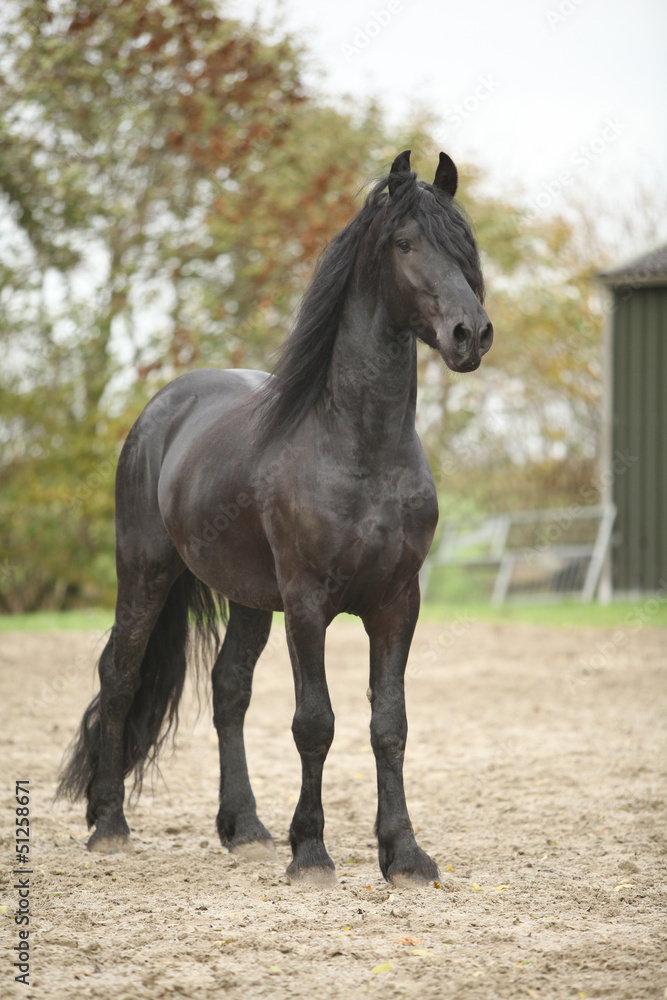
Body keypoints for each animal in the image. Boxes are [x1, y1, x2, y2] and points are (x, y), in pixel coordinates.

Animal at [57, 149, 493, 886]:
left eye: (465, 246)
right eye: (405, 244)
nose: (472, 333)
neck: (359, 448)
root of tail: (162, 409)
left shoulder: (397, 602)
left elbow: (390, 726)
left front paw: (403, 855)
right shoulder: (308, 602)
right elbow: (314, 722)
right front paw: (311, 853)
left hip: (248, 599)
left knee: (228, 690)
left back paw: (247, 830)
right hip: (144, 572)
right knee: (119, 677)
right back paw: (110, 826)